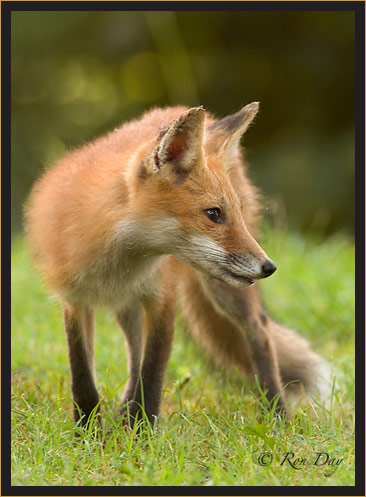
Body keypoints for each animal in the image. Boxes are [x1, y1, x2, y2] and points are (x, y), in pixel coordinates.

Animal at [25, 103, 328, 426]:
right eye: (213, 214)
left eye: (235, 213)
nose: (269, 267)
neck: (113, 260)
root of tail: (178, 107)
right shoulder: (73, 300)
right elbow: (83, 380)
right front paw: (87, 431)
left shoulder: (162, 298)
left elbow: (152, 376)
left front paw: (141, 432)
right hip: (127, 306)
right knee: (134, 354)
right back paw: (121, 415)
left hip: (225, 296)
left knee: (260, 331)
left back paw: (276, 412)